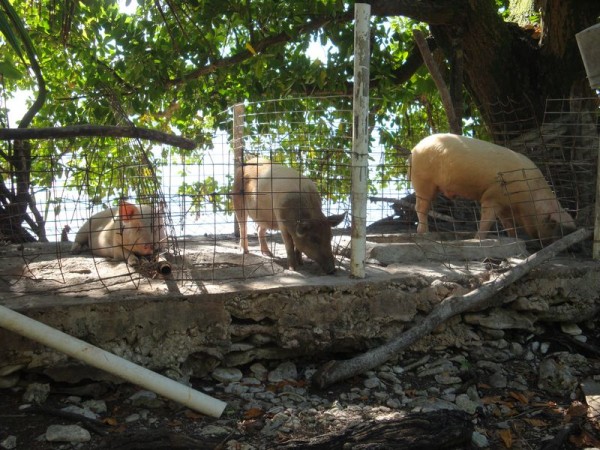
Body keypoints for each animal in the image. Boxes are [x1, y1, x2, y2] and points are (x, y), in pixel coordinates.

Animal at [410, 133, 576, 243]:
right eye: (551, 223)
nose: (549, 242)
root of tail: (415, 149)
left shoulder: (504, 205)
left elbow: (508, 224)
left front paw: (514, 238)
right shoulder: (492, 196)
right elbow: (487, 220)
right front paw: (477, 239)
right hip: (423, 181)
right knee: (420, 207)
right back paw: (424, 234)